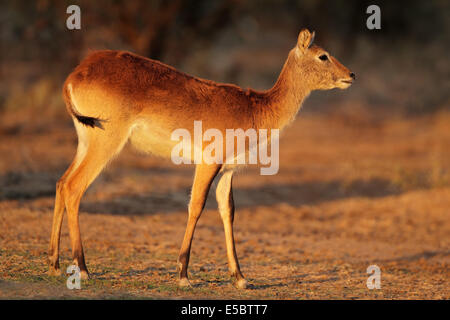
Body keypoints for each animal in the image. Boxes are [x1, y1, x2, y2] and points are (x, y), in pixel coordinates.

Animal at [46, 28, 356, 288]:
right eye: (323, 55)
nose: (351, 75)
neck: (256, 109)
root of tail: (76, 75)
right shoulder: (208, 163)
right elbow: (196, 206)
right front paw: (183, 274)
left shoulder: (228, 171)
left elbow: (228, 212)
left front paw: (240, 278)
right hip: (105, 142)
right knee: (74, 187)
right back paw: (83, 268)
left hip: (86, 141)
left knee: (61, 183)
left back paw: (54, 264)